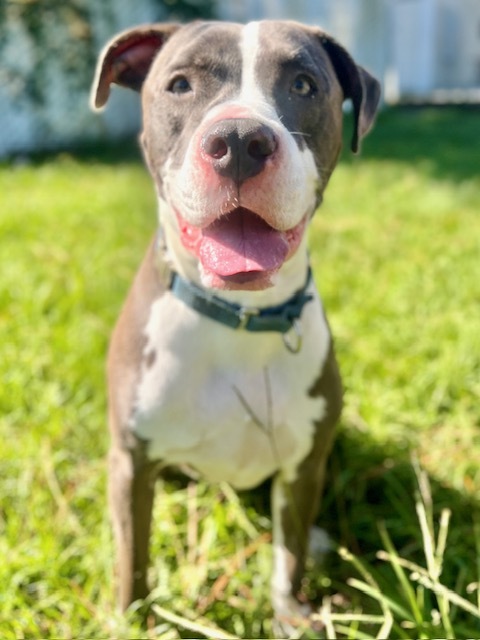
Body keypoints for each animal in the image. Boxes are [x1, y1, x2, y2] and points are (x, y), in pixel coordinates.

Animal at [92, 18, 380, 632]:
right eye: (180, 84)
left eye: (303, 84)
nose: (242, 142)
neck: (239, 318)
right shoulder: (131, 461)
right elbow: (133, 559)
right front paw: (134, 621)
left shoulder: (302, 466)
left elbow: (288, 555)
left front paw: (290, 614)